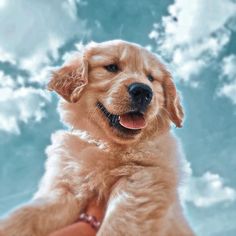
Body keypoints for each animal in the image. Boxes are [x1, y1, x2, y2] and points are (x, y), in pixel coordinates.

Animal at [0, 39, 194, 235]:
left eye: (151, 78)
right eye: (112, 67)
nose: (143, 91)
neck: (107, 144)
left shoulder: (143, 181)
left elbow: (118, 222)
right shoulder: (68, 188)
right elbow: (26, 215)